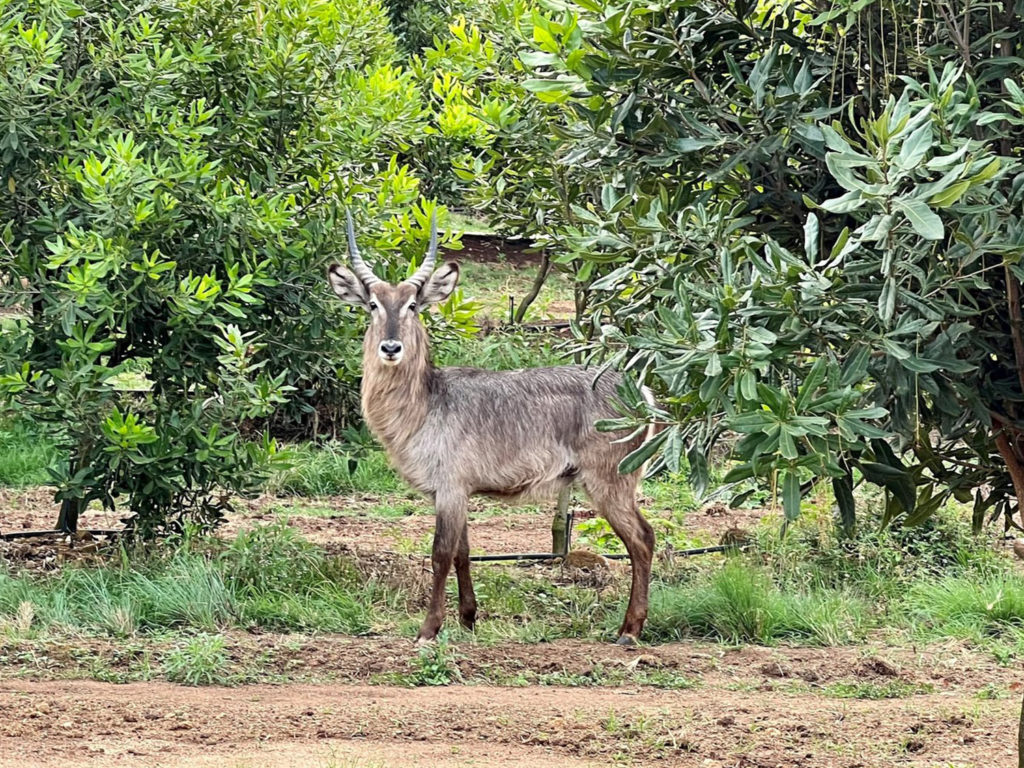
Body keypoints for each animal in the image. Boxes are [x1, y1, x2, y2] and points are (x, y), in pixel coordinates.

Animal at [327, 214, 655, 647]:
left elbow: (440, 554)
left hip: (609, 482)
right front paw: (468, 619)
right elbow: (463, 553)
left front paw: (429, 630)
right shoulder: (453, 492)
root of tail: (640, 390)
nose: (391, 348)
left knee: (642, 540)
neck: (426, 403)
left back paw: (629, 631)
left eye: (413, 304)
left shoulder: (450, 487)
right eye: (372, 304)